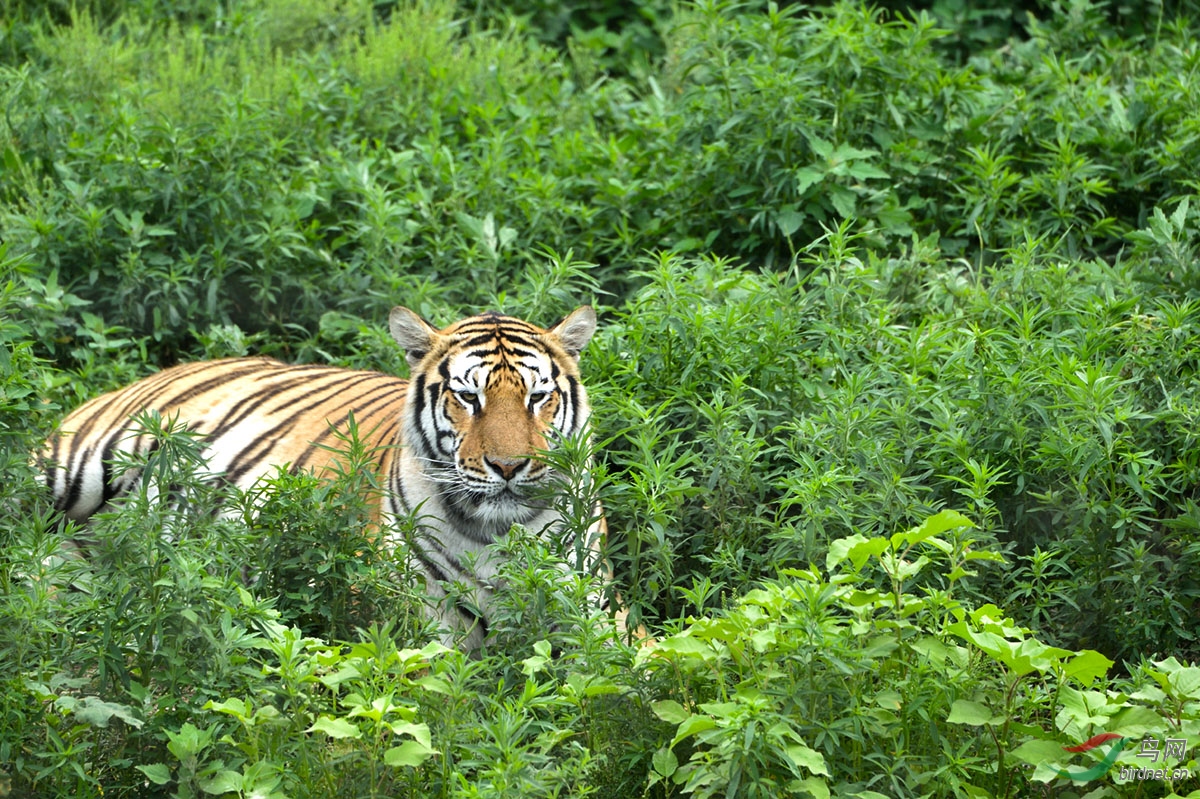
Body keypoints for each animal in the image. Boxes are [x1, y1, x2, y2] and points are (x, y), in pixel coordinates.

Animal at [42, 304, 614, 647]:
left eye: (537, 397)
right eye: (468, 397)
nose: (509, 466)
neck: (499, 532)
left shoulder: (599, 614)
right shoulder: (418, 624)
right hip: (77, 468)